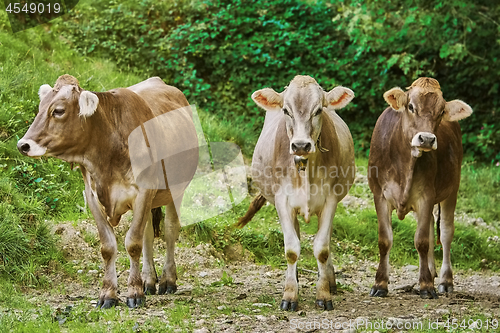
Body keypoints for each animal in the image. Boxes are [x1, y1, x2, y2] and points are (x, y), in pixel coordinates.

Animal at [18, 74, 197, 308]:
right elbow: (108, 246)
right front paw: (108, 294)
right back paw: (149, 281)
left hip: (176, 189)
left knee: (169, 230)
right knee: (149, 234)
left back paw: (168, 281)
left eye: (58, 111)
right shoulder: (92, 196)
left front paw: (134, 293)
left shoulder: (143, 192)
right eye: (40, 108)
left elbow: (133, 243)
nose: (23, 145)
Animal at [238, 74, 356, 308]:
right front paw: (290, 294)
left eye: (318, 110)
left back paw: (329, 279)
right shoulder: (282, 201)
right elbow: (292, 249)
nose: (301, 145)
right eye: (286, 110)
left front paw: (323, 293)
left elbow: (322, 248)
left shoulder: (331, 200)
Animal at [368, 78, 472, 298]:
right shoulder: (379, 195)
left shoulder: (426, 195)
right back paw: (431, 272)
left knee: (446, 232)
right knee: (432, 226)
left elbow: (422, 241)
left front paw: (426, 285)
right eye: (410, 106)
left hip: (452, 189)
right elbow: (385, 240)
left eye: (441, 111)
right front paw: (380, 284)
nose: (427, 139)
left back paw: (444, 280)